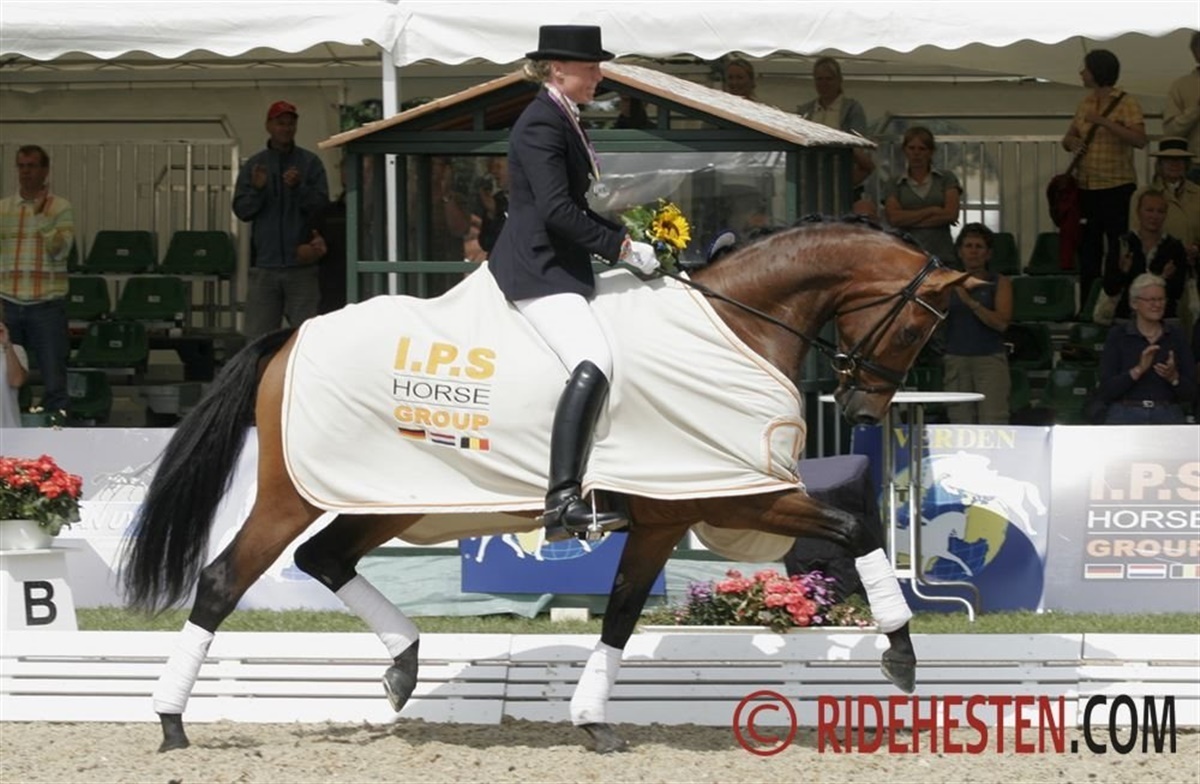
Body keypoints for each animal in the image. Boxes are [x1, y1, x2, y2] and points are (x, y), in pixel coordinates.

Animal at [121, 216, 973, 754]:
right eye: (914, 326)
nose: (862, 409)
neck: (736, 327)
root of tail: (292, 334)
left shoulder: (667, 516)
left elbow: (622, 614)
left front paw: (592, 719)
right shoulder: (730, 490)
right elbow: (856, 526)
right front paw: (902, 655)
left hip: (395, 496)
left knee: (325, 559)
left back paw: (403, 665)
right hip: (294, 493)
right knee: (224, 579)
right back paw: (169, 722)